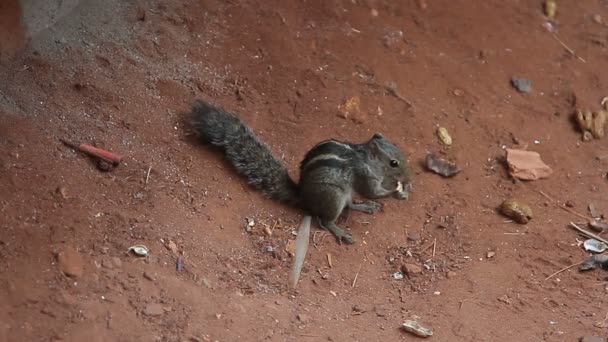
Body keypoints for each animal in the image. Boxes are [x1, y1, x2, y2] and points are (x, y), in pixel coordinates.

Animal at [190, 99, 414, 243]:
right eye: (393, 163)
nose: (409, 178)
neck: (366, 158)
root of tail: (303, 195)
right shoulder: (363, 175)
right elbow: (372, 192)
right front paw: (397, 193)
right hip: (333, 197)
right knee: (325, 221)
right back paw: (340, 232)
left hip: (342, 195)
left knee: (350, 205)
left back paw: (365, 207)